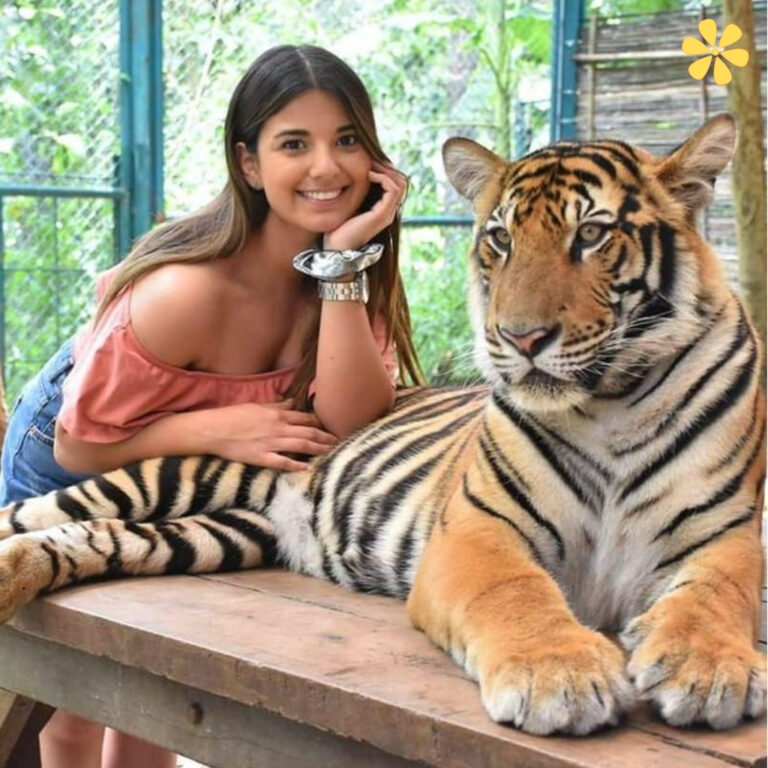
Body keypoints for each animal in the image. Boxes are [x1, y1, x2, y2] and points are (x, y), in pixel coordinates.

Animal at [0, 113, 764, 737]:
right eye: (499, 240)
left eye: (593, 235)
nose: (519, 338)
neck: (610, 403)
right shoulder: (477, 530)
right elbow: (516, 595)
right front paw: (561, 676)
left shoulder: (727, 531)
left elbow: (716, 594)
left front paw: (707, 669)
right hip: (169, 473)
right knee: (37, 513)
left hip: (216, 534)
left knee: (87, 537)